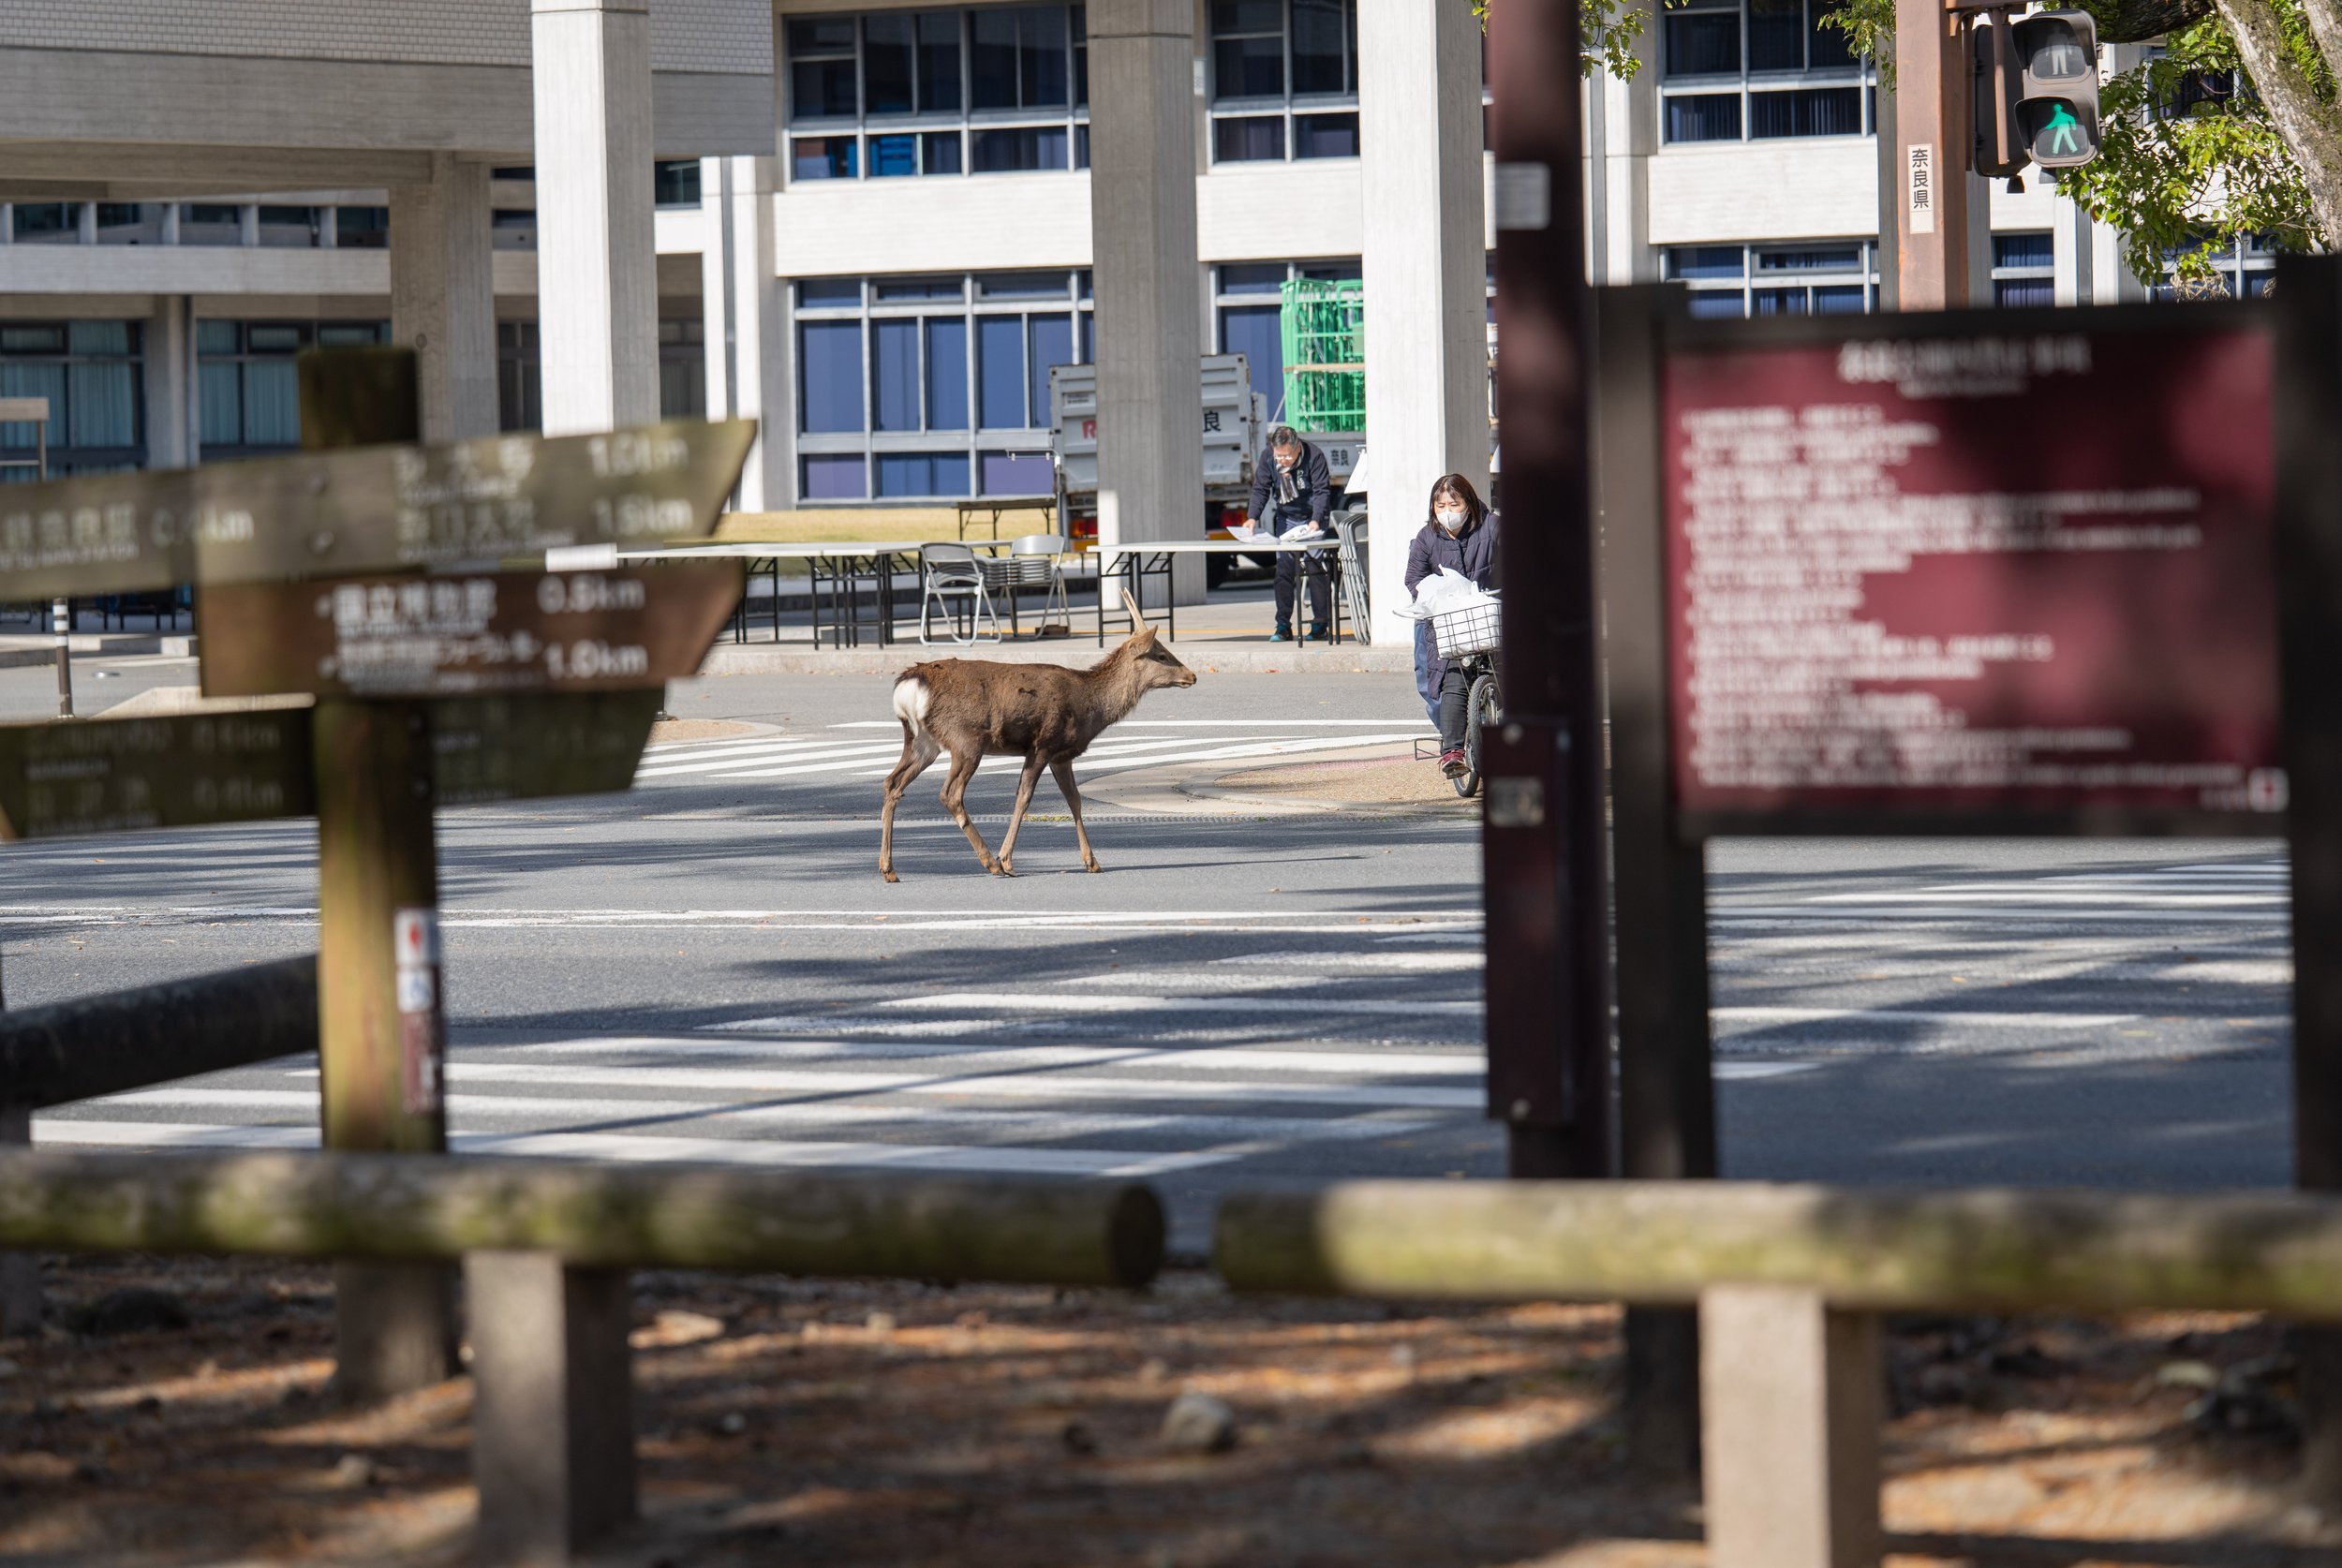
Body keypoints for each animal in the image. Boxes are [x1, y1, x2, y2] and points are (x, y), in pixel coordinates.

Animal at [881, 588, 1197, 881]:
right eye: (1162, 655)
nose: (1192, 676)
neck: (1090, 705)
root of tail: (908, 685)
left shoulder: (1061, 755)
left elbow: (1075, 799)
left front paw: (1092, 861)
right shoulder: (1043, 743)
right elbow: (1024, 796)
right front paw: (1007, 860)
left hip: (923, 741)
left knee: (892, 782)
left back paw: (889, 868)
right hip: (965, 739)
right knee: (950, 793)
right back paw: (990, 862)